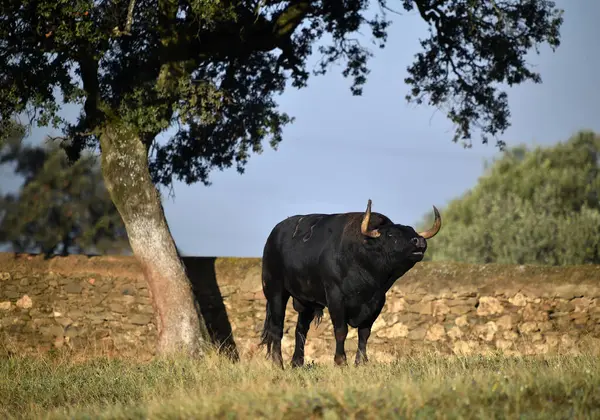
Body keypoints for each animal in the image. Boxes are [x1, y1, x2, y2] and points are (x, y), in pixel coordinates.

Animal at [258, 199, 440, 366]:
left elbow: (364, 333)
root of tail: (273, 237)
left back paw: (297, 363)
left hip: (306, 301)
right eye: (390, 235)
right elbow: (341, 331)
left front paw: (361, 362)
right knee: (277, 328)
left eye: (412, 231)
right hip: (275, 291)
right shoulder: (336, 298)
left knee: (300, 330)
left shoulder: (377, 303)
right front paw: (340, 361)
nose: (419, 241)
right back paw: (278, 363)